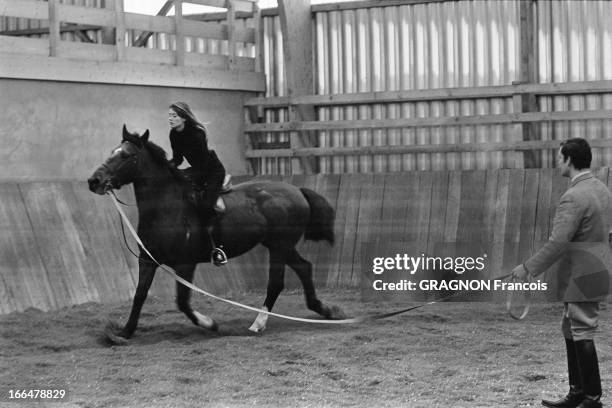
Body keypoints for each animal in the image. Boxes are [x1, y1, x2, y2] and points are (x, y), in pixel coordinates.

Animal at [87, 126, 344, 342]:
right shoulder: (147, 260)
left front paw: (210, 324)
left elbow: (182, 301)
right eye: (112, 152)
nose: (94, 180)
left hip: (280, 247)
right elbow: (140, 295)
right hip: (280, 246)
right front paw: (125, 332)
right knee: (304, 267)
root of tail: (297, 190)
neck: (167, 207)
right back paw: (326, 310)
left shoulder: (185, 264)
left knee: (276, 283)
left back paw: (258, 323)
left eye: (127, 155)